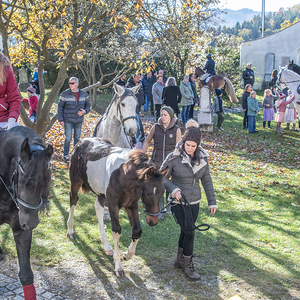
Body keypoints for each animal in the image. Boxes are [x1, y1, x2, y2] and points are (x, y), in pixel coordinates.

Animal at [66, 138, 168, 276]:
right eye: (147, 193)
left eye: (162, 192)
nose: (153, 221)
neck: (123, 175)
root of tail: (81, 141)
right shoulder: (113, 205)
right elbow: (116, 231)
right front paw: (118, 266)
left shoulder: (131, 205)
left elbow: (137, 230)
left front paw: (127, 255)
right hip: (76, 182)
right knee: (73, 200)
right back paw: (70, 230)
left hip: (101, 193)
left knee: (98, 208)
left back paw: (106, 246)